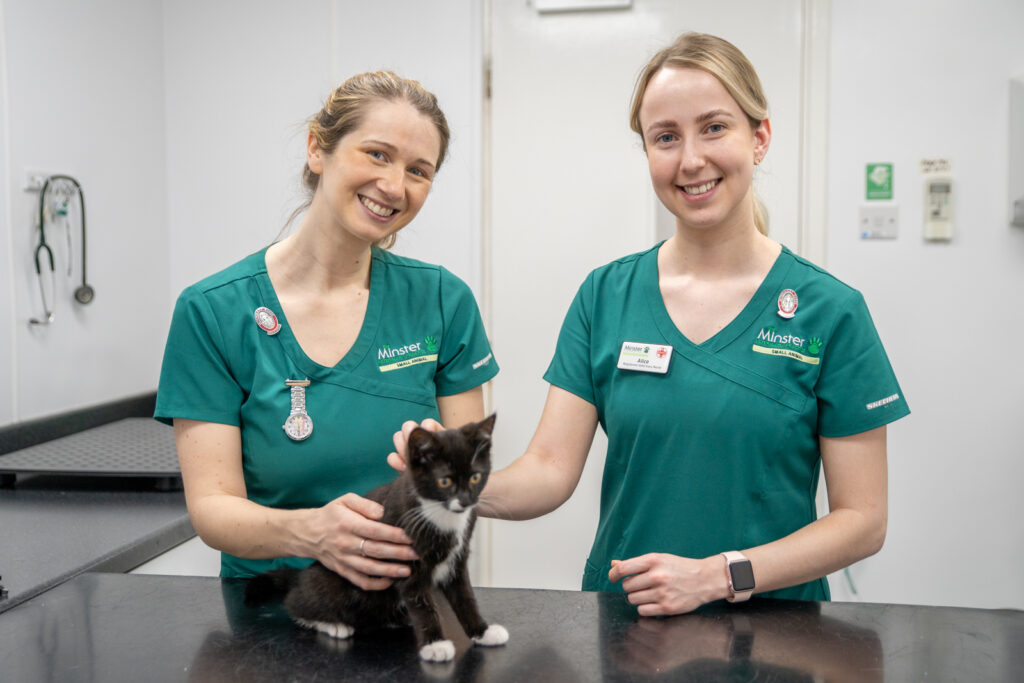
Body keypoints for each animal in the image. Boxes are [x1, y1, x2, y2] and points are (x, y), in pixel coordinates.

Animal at [244, 411, 507, 663]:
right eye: (444, 481)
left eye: (475, 477)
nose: (465, 501)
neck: (440, 514)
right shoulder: (407, 561)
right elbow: (421, 603)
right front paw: (435, 645)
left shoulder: (457, 559)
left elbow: (465, 597)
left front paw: (483, 632)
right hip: (331, 585)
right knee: (297, 602)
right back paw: (332, 623)